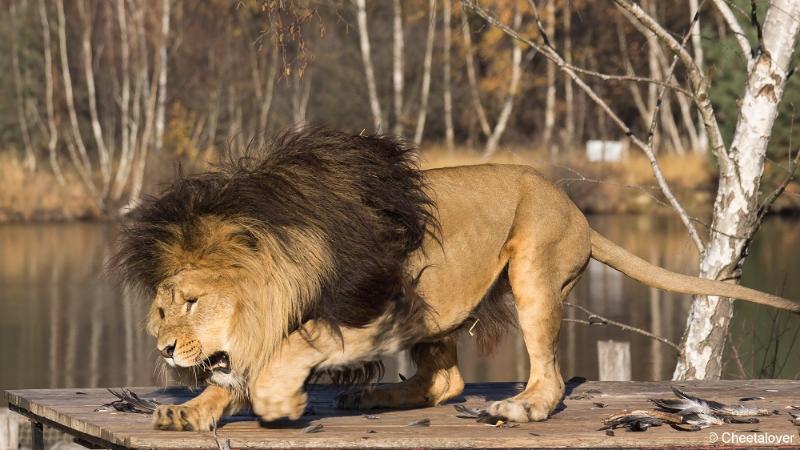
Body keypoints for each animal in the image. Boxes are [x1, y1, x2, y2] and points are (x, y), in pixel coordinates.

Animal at [111, 125, 800, 428]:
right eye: (161, 309)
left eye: (192, 302)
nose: (163, 348)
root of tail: (579, 209)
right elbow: (240, 365)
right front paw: (194, 408)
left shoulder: (370, 313)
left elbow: (286, 349)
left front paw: (280, 402)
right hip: (439, 307)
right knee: (445, 383)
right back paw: (377, 397)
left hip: (531, 274)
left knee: (547, 374)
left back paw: (522, 408)